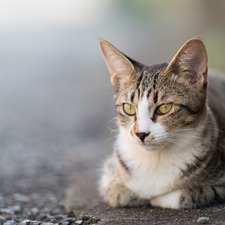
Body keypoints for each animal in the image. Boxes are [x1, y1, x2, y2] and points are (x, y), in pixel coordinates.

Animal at [98, 37, 225, 208]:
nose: (141, 134)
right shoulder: (110, 172)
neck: (156, 159)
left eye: (165, 107)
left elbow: (187, 195)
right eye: (129, 108)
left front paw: (157, 197)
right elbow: (118, 193)